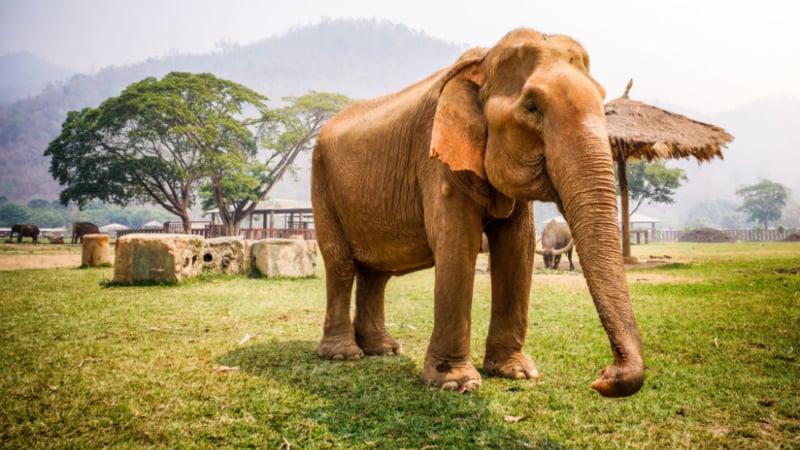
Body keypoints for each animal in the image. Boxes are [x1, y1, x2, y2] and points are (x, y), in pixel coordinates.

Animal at [310, 27, 648, 398]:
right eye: (532, 106)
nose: (604, 375)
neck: (482, 64)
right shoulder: (436, 158)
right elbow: (457, 241)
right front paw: (456, 383)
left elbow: (517, 247)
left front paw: (517, 372)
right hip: (322, 185)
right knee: (341, 265)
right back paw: (344, 355)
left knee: (377, 272)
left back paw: (384, 349)